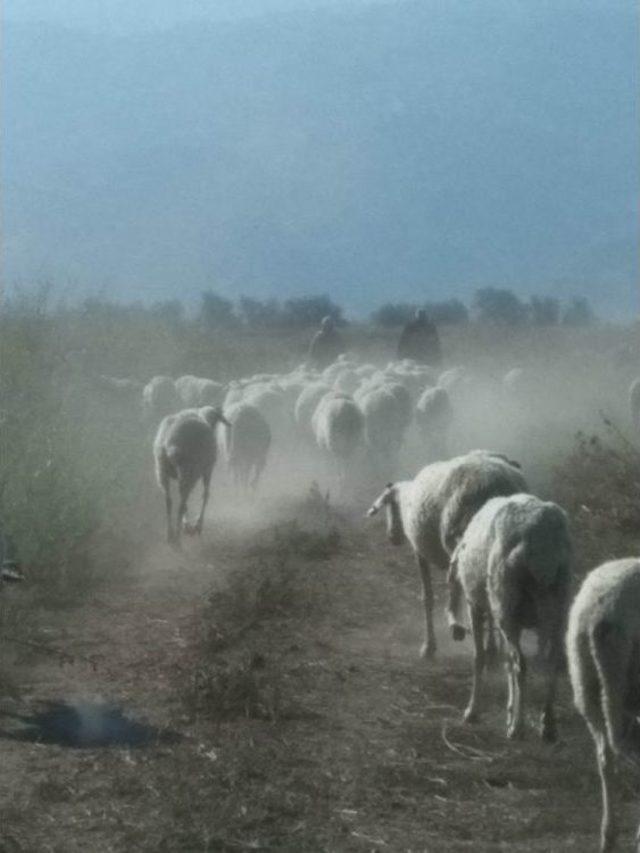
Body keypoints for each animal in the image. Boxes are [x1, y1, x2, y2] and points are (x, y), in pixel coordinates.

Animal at [152, 406, 230, 544]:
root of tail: (168, 444)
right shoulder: (208, 469)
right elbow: (206, 495)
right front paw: (198, 524)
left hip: (161, 471)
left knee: (169, 501)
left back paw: (170, 534)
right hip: (188, 472)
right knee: (181, 504)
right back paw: (178, 537)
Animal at [364, 452, 524, 660]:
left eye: (391, 506)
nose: (392, 538)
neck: (407, 500)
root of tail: (497, 484)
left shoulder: (419, 551)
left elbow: (427, 597)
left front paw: (429, 647)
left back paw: (467, 633)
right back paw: (493, 646)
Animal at [448, 492, 572, 740]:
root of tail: (540, 539)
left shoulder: (475, 605)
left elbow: (479, 657)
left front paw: (472, 711)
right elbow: (506, 662)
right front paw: (508, 710)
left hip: (505, 602)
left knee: (521, 664)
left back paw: (518, 727)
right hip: (556, 604)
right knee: (551, 661)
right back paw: (548, 724)